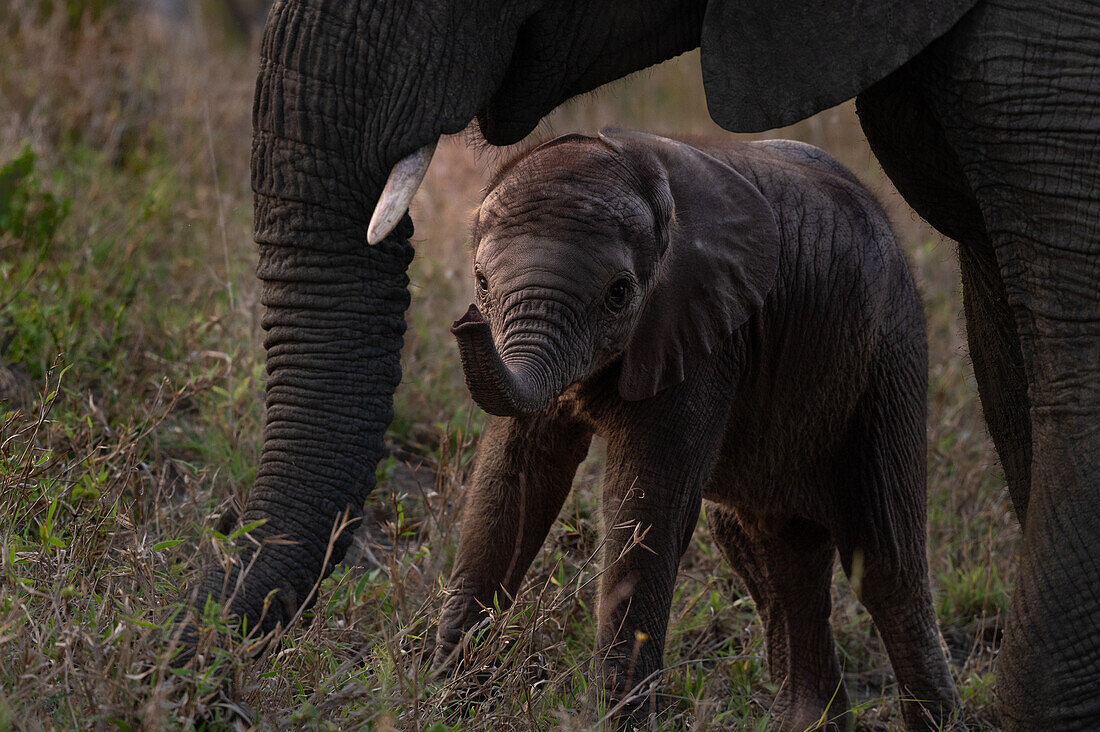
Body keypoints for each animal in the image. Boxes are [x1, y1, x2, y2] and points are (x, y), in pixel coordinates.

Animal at [433, 128, 959, 726]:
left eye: (619, 293)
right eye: (481, 281)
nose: (465, 321)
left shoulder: (705, 334)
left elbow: (647, 504)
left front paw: (619, 724)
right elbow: (512, 483)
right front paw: (448, 701)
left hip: (889, 359)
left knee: (885, 557)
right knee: (769, 552)